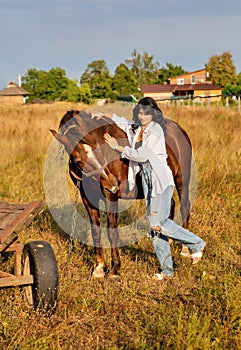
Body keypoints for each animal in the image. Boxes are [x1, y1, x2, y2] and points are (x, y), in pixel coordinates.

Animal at [50, 109, 192, 278]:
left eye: (98, 146)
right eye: (78, 161)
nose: (111, 184)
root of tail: (179, 129)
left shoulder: (110, 196)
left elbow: (112, 231)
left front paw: (115, 268)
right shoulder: (88, 199)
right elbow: (95, 231)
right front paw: (99, 268)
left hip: (181, 179)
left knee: (184, 206)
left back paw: (186, 250)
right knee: (170, 205)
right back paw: (168, 241)